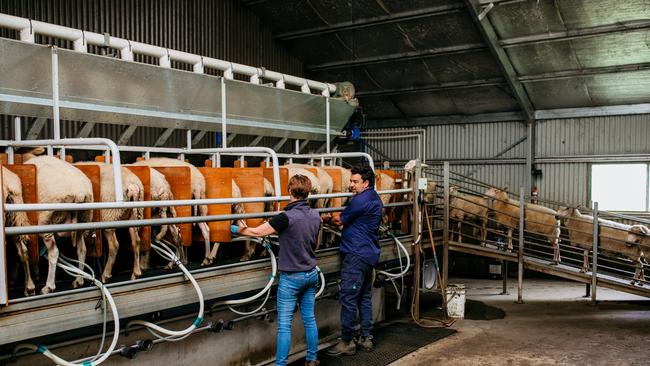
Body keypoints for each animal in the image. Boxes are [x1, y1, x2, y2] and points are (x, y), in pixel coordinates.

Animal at [22, 154, 93, 294]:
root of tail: (79, 192)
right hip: (83, 219)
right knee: (82, 249)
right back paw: (78, 280)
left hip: (46, 221)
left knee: (54, 252)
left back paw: (49, 286)